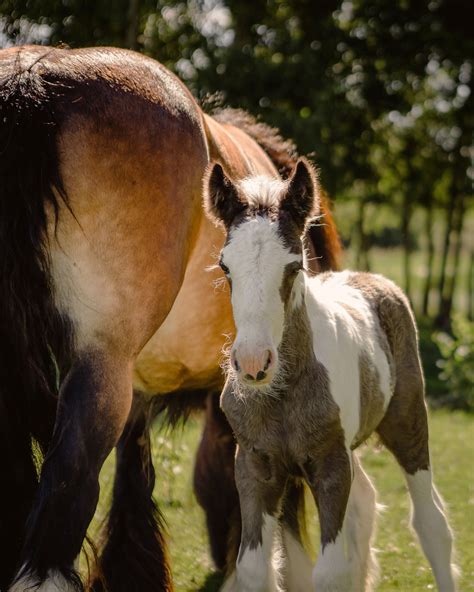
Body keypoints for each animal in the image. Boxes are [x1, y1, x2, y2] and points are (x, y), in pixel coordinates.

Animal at [203, 160, 456, 588]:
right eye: (225, 267)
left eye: (294, 266)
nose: (253, 363)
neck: (283, 393)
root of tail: (372, 278)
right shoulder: (254, 465)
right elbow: (253, 569)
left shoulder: (330, 465)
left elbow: (329, 572)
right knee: (366, 503)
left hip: (407, 421)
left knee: (431, 522)